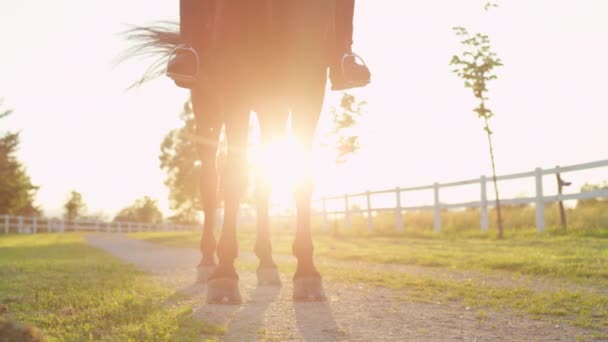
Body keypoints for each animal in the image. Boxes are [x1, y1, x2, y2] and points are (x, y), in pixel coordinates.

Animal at [122, 1, 332, 304]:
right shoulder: (236, 82)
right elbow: (233, 176)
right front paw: (224, 274)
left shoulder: (309, 84)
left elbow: (300, 176)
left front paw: (307, 270)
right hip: (208, 106)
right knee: (210, 181)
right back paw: (208, 262)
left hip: (271, 108)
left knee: (263, 181)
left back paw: (267, 263)